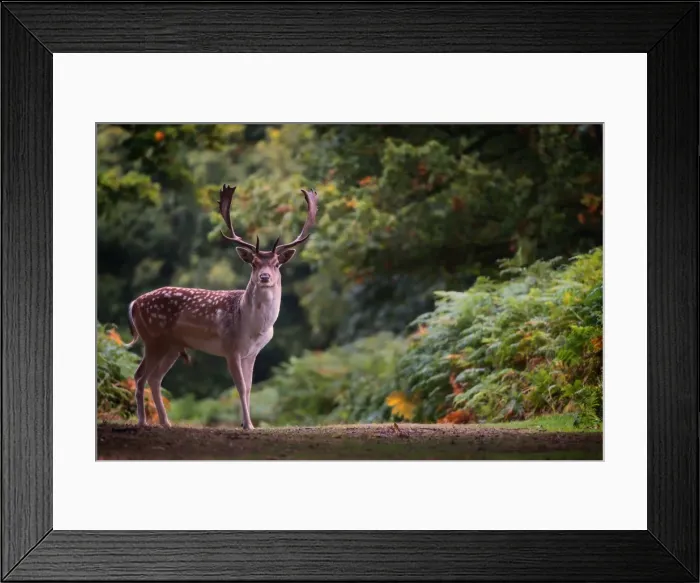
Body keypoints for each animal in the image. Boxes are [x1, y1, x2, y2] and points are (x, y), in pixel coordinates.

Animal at [124, 184, 318, 430]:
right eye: (254, 263)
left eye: (276, 264)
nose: (264, 277)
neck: (252, 326)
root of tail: (135, 303)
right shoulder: (230, 348)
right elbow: (241, 387)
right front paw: (249, 425)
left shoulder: (252, 353)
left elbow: (249, 388)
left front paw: (247, 424)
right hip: (153, 338)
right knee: (140, 375)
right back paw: (143, 421)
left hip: (171, 345)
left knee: (154, 377)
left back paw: (166, 423)